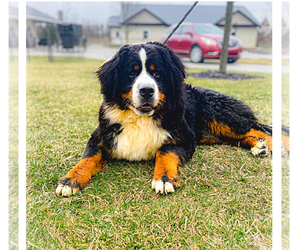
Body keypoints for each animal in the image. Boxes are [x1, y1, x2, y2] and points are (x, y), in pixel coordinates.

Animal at [55, 42, 290, 196]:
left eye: (156, 73)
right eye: (131, 73)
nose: (147, 90)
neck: (140, 118)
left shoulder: (184, 137)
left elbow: (165, 151)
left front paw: (164, 178)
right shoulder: (101, 136)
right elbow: (87, 158)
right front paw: (71, 179)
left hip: (219, 113)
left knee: (255, 127)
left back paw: (275, 145)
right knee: (244, 135)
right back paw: (259, 147)